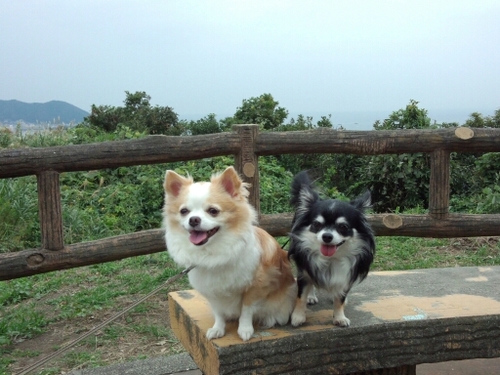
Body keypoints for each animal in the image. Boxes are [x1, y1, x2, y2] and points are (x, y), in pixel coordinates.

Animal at [164, 166, 296, 342]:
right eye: (184, 211)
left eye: (213, 211)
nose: (193, 219)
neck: (214, 251)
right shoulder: (212, 291)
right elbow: (218, 312)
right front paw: (218, 329)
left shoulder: (255, 286)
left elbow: (246, 309)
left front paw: (245, 329)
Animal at [286, 172, 376, 328]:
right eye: (316, 224)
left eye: (343, 227)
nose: (327, 236)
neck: (330, 259)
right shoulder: (305, 269)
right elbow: (301, 295)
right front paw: (298, 316)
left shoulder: (346, 275)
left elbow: (340, 299)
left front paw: (339, 317)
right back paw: (311, 296)